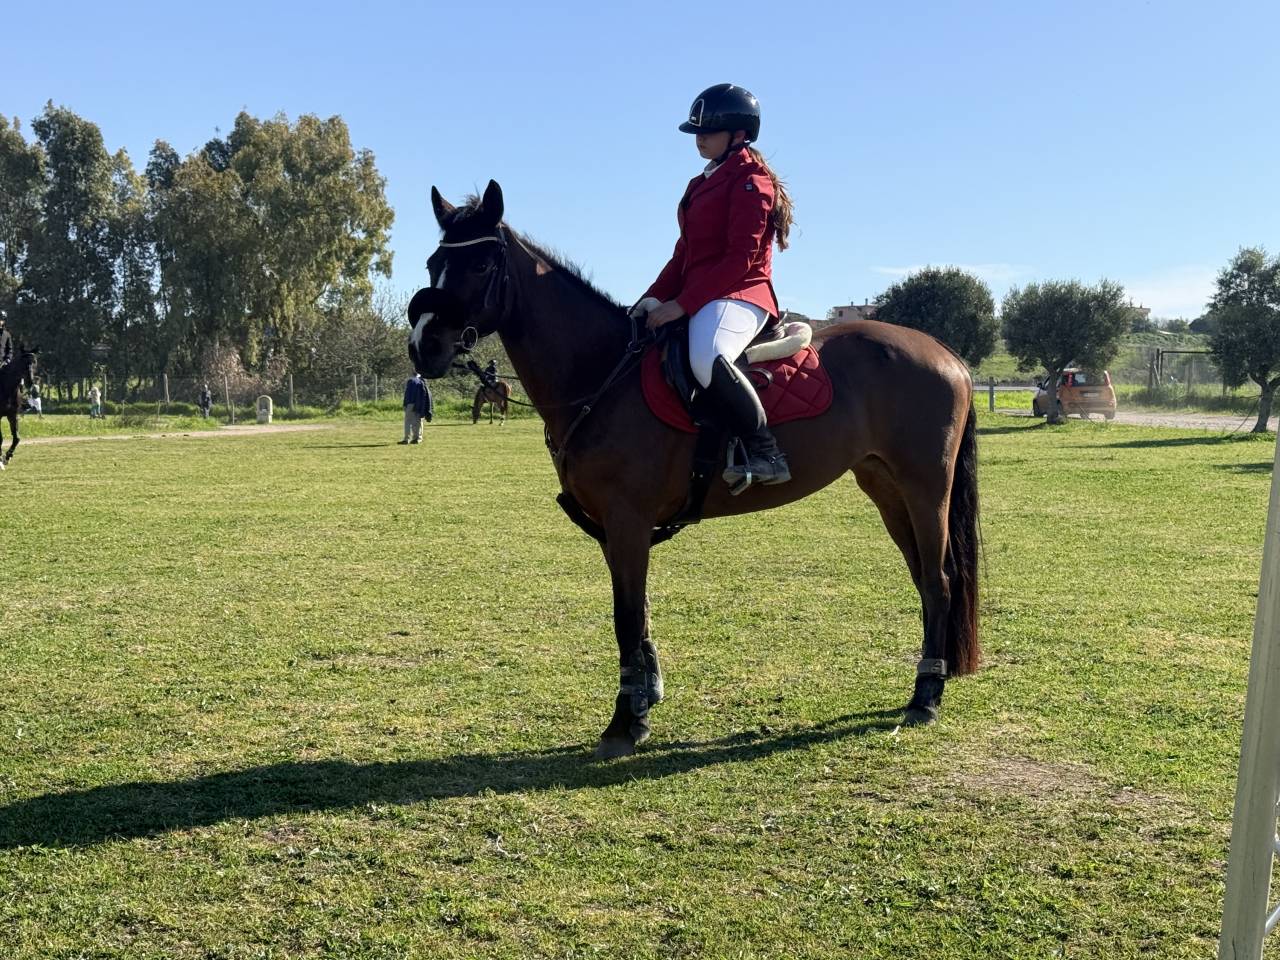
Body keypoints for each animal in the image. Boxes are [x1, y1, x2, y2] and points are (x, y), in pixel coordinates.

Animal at [409, 181, 980, 759]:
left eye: (481, 265)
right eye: (435, 263)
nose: (423, 346)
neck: (603, 373)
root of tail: (943, 352)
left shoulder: (628, 522)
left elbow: (626, 617)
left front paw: (624, 722)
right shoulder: (613, 531)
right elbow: (637, 614)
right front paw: (643, 700)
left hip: (926, 488)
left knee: (939, 580)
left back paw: (925, 698)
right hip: (886, 487)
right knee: (923, 577)